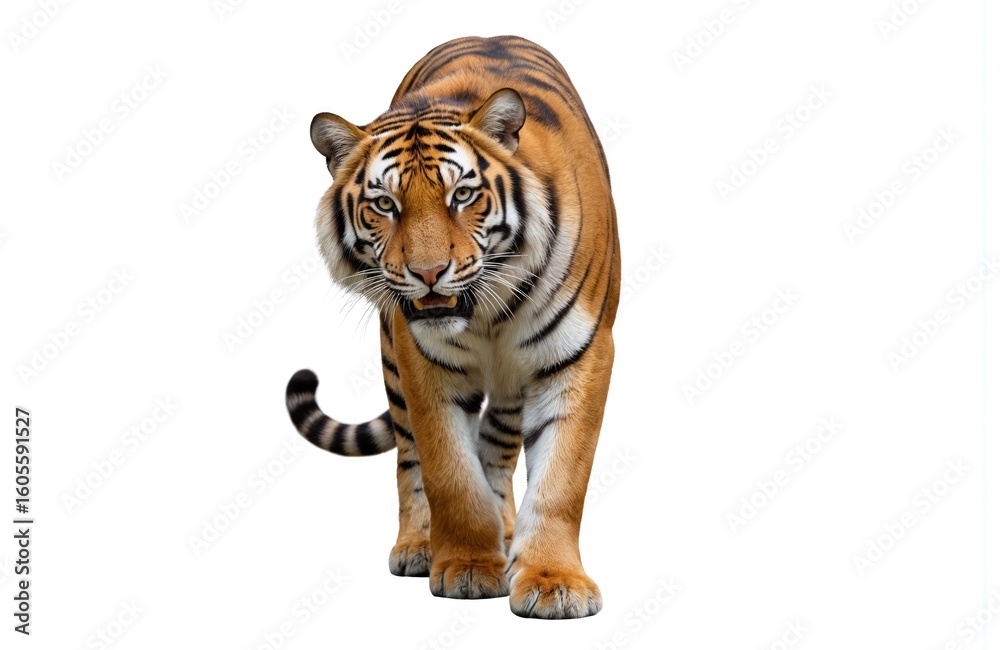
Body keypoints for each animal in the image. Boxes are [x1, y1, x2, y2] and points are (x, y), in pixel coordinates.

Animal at [285, 35, 620, 619]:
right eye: (384, 204)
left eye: (462, 195)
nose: (427, 272)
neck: (489, 309)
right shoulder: (422, 361)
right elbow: (449, 472)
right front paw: (466, 566)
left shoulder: (581, 352)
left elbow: (562, 479)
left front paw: (554, 583)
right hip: (392, 357)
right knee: (410, 457)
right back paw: (420, 544)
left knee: (498, 445)